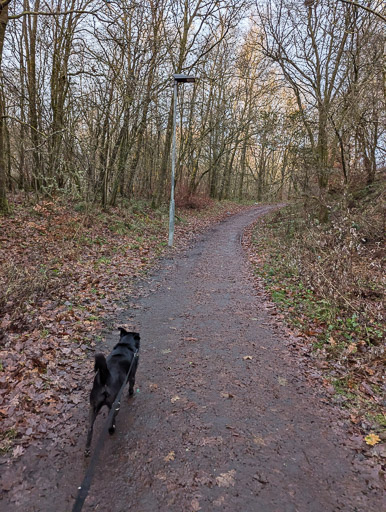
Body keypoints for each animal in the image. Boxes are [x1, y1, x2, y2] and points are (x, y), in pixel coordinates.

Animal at [85, 328, 140, 456]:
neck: (125, 345)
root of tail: (105, 377)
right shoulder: (132, 376)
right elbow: (131, 386)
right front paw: (131, 393)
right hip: (115, 404)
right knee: (111, 420)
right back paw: (111, 429)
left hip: (93, 407)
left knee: (90, 428)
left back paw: (87, 448)